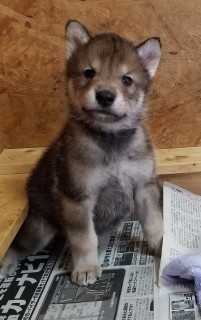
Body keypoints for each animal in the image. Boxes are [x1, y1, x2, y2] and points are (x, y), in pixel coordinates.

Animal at [0, 20, 163, 284]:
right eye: (89, 72)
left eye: (127, 80)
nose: (105, 96)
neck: (110, 139)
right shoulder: (77, 198)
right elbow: (85, 239)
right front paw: (86, 268)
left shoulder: (144, 187)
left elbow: (154, 223)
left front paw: (162, 245)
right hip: (39, 231)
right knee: (20, 243)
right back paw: (7, 261)